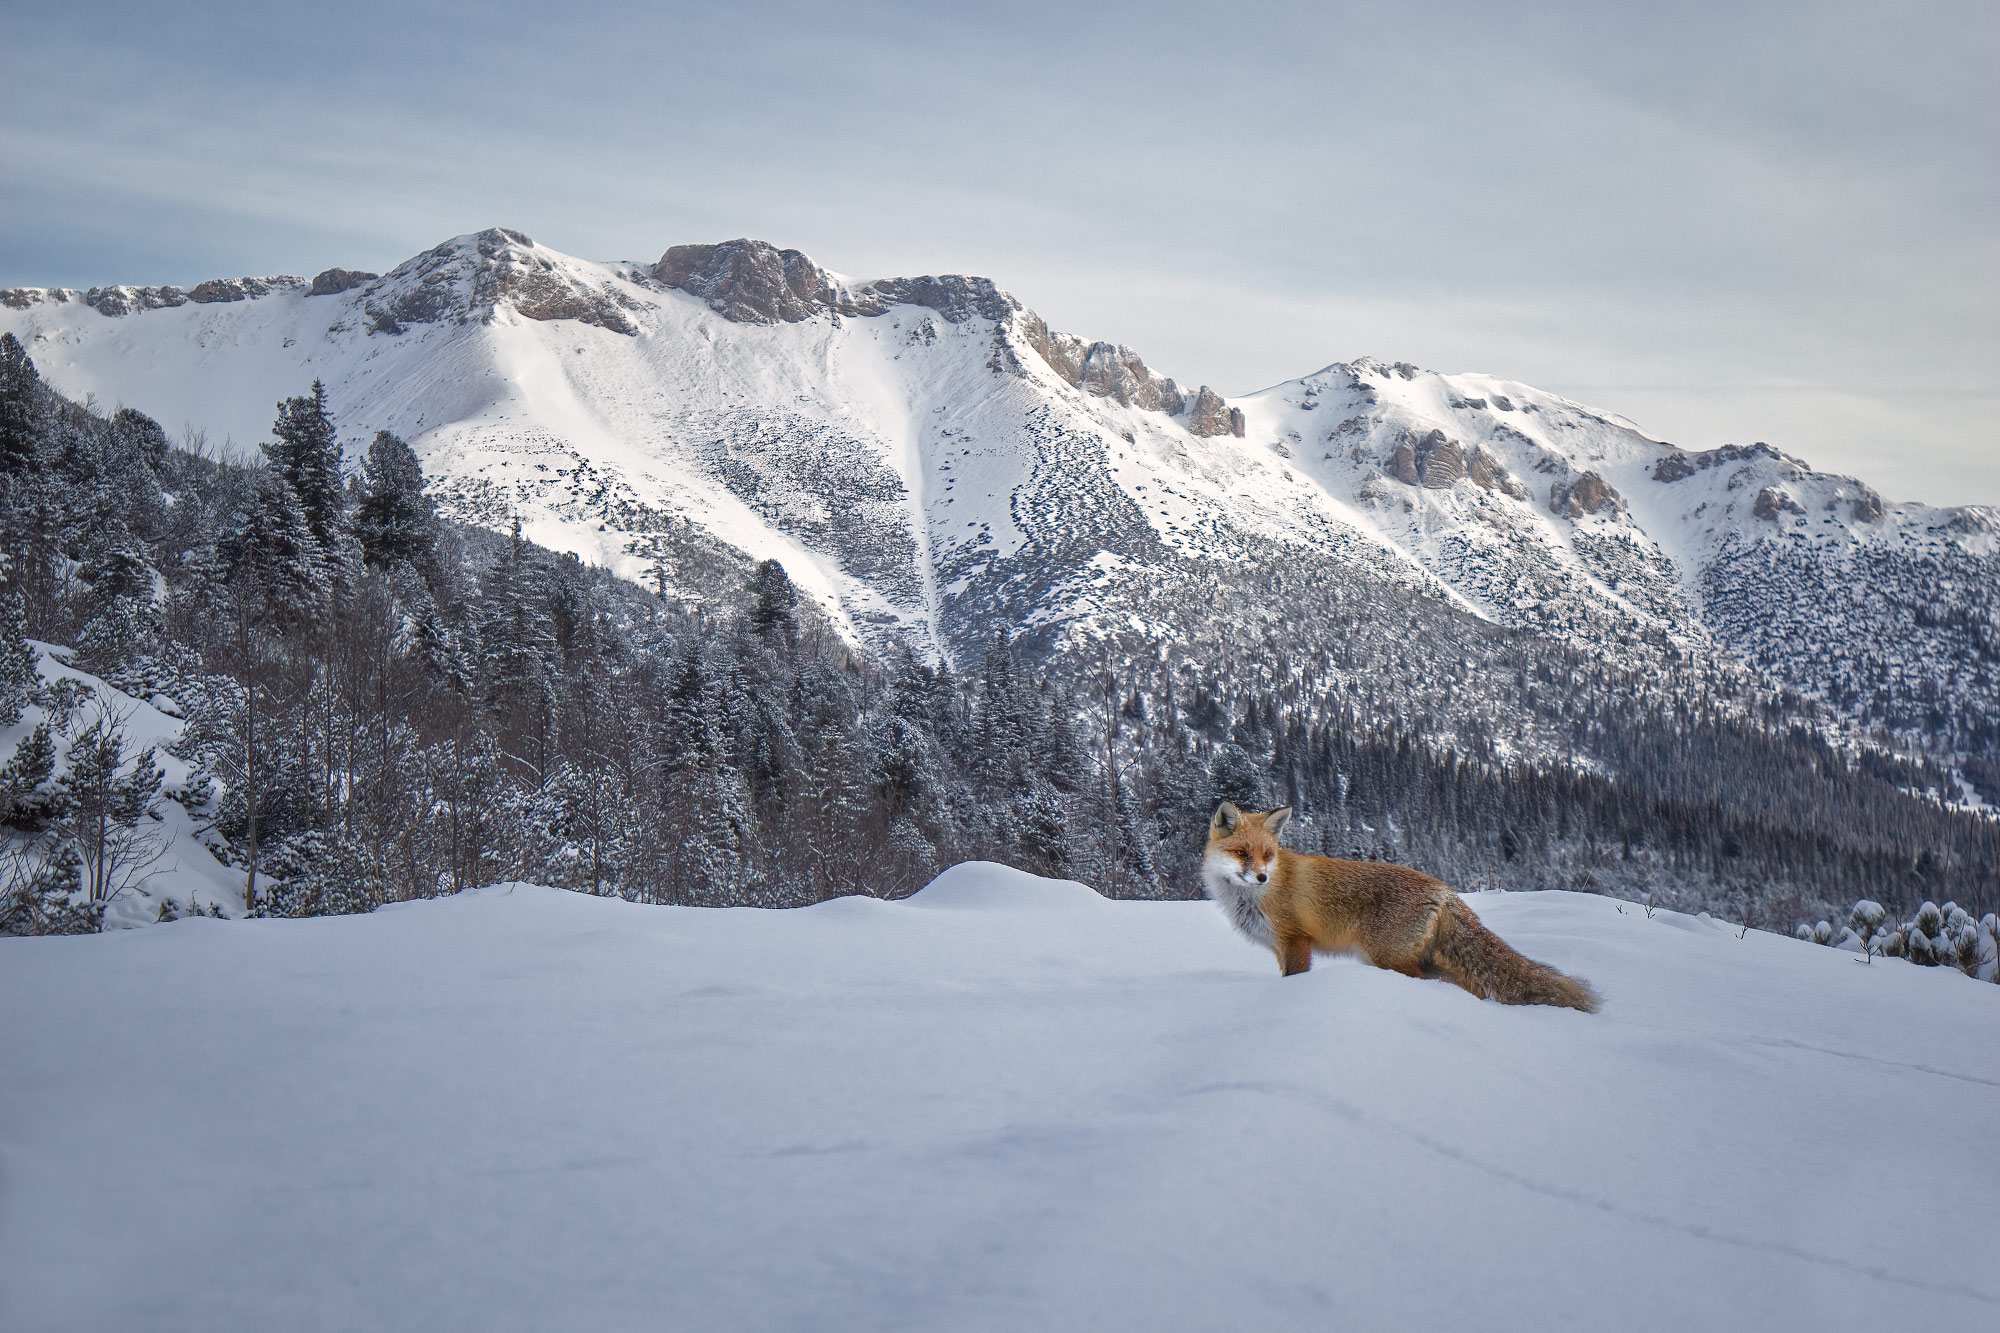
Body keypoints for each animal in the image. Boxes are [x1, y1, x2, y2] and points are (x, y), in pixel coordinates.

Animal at [1192, 800, 1600, 1008]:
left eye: (1267, 855)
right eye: (1242, 853)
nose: (1261, 877)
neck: (1254, 897)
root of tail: (1444, 889)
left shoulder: (1295, 941)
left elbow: (1295, 979)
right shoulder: (1280, 947)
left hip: (1389, 958)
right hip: (1419, 959)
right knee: (1470, 983)